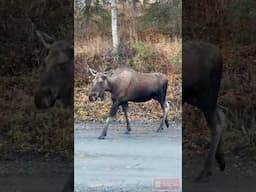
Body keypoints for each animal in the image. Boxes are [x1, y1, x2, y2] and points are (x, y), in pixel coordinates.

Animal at [183, 41, 225, 182]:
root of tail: (219, 54)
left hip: (206, 94)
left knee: (216, 124)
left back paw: (205, 170)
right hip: (195, 98)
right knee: (221, 113)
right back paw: (220, 160)